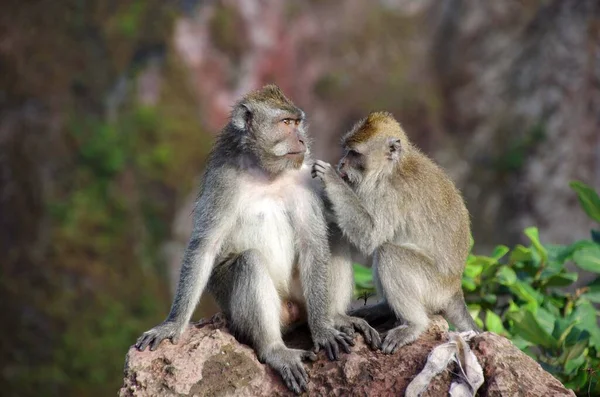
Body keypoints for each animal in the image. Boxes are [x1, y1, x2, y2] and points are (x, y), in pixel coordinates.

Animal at [136, 84, 376, 392]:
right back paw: (275, 349)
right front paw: (173, 324)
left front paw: (323, 330)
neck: (266, 173)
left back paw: (334, 317)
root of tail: (292, 311)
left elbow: (312, 243)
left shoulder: (304, 178)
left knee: (332, 236)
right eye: (285, 123)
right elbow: (205, 246)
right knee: (249, 262)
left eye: (297, 122)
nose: (301, 138)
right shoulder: (223, 181)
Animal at [314, 110, 478, 352]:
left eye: (354, 153)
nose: (341, 163)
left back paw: (414, 325)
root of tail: (455, 288)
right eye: (346, 150)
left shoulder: (390, 194)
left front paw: (329, 179)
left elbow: (370, 236)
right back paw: (383, 309)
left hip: (434, 287)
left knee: (389, 253)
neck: (390, 169)